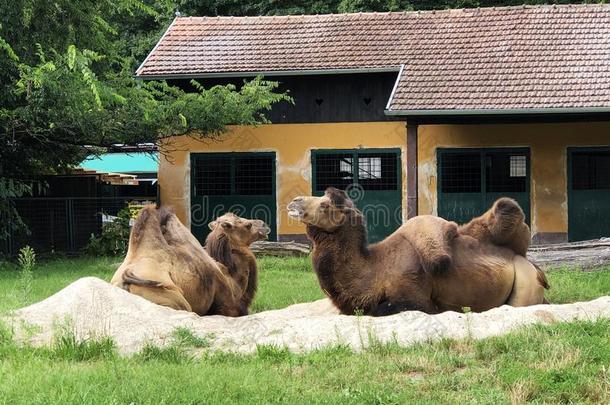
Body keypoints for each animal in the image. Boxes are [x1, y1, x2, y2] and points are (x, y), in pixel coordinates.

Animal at [284, 186, 548, 316]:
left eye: (325, 204)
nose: (294, 201)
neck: (375, 269)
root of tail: (534, 267)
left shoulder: (416, 296)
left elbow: (385, 309)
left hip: (525, 284)